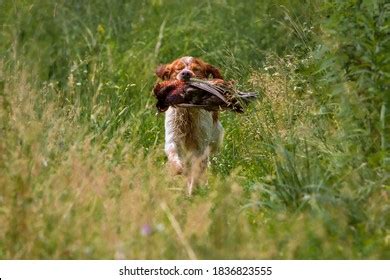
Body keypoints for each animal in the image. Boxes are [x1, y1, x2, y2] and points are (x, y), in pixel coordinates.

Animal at [155, 55, 224, 194]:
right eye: (178, 69)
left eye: (196, 69)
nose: (186, 73)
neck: (187, 111)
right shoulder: (173, 135)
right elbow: (173, 152)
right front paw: (177, 168)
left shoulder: (200, 145)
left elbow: (196, 169)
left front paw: (193, 191)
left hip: (215, 139)